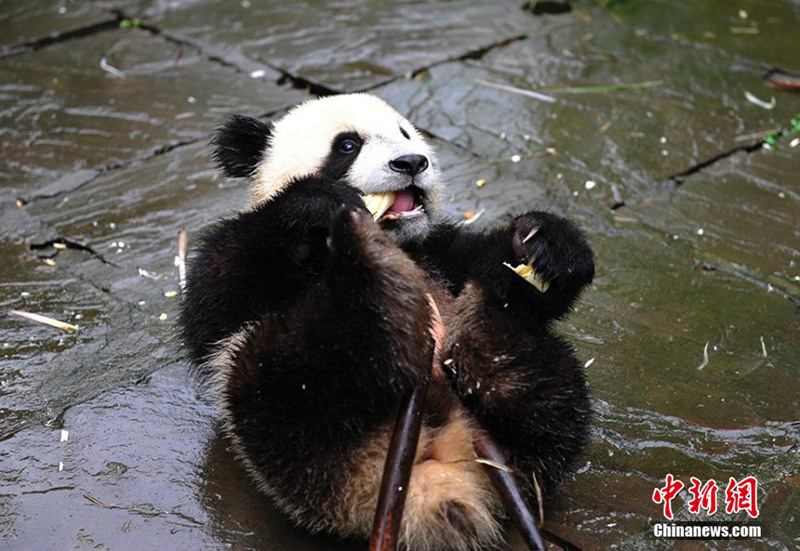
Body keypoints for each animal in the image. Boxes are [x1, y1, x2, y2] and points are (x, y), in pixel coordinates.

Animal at [181, 92, 592, 548]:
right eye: (347, 145)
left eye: (405, 134)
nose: (411, 162)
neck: (393, 239)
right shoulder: (241, 284)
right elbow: (213, 301)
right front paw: (317, 202)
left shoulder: (439, 252)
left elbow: (504, 277)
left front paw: (544, 242)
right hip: (279, 421)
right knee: (301, 366)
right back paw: (377, 291)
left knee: (549, 398)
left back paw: (491, 352)